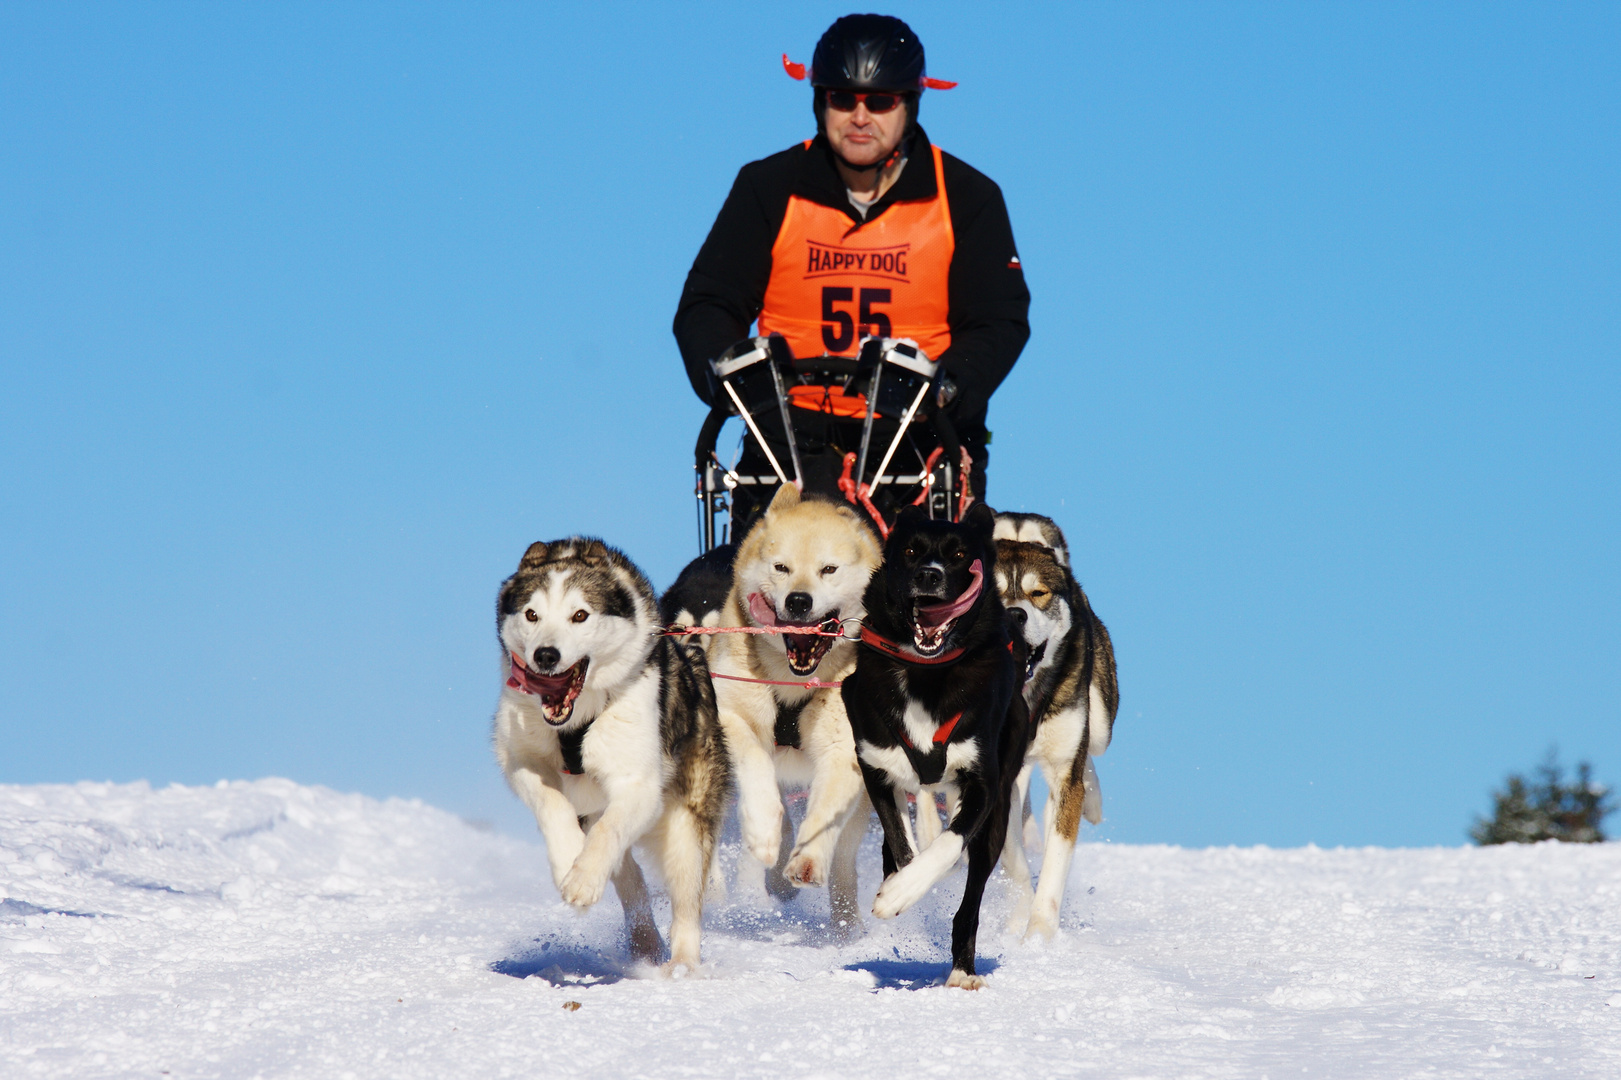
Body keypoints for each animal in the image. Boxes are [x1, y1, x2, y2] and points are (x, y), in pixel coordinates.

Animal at [842, 502, 1030, 985]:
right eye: (910, 551)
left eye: (960, 554)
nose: (929, 574)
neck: (927, 674)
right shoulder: (875, 767)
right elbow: (900, 839)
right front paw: (898, 881)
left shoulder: (983, 784)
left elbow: (947, 845)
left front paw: (900, 893)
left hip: (998, 814)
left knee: (970, 900)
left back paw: (962, 970)